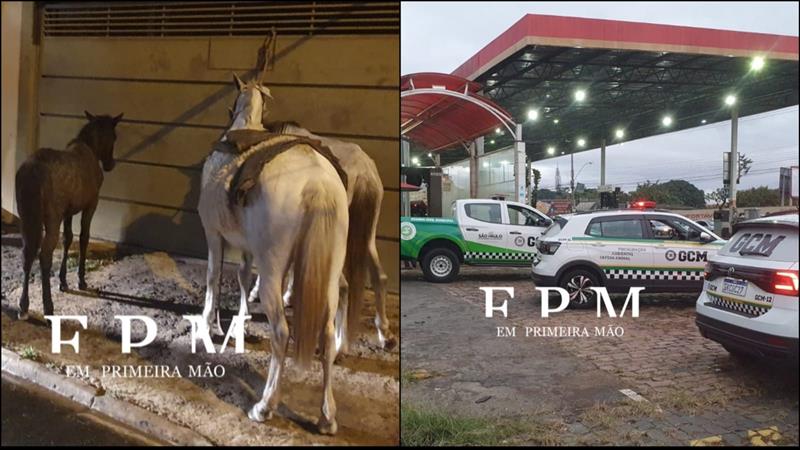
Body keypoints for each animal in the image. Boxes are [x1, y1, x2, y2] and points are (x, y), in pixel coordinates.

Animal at [14, 109, 122, 320]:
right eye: (114, 136)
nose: (110, 164)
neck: (92, 150)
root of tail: (31, 173)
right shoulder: (90, 205)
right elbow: (83, 238)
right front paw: (81, 280)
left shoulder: (68, 212)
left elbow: (68, 239)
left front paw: (63, 281)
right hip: (51, 219)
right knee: (44, 255)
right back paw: (48, 307)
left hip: (27, 219)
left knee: (27, 253)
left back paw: (23, 306)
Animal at [197, 74, 346, 436]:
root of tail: (317, 181)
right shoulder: (248, 248)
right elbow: (240, 277)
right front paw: (238, 323)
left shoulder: (213, 233)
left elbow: (213, 276)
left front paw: (208, 324)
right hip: (329, 276)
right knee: (327, 336)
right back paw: (327, 417)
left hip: (274, 272)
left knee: (281, 332)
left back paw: (264, 406)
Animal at [242, 122, 396, 352]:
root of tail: (364, 172)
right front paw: (288, 295)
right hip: (366, 234)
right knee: (379, 277)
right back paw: (384, 334)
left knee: (343, 285)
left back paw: (340, 343)